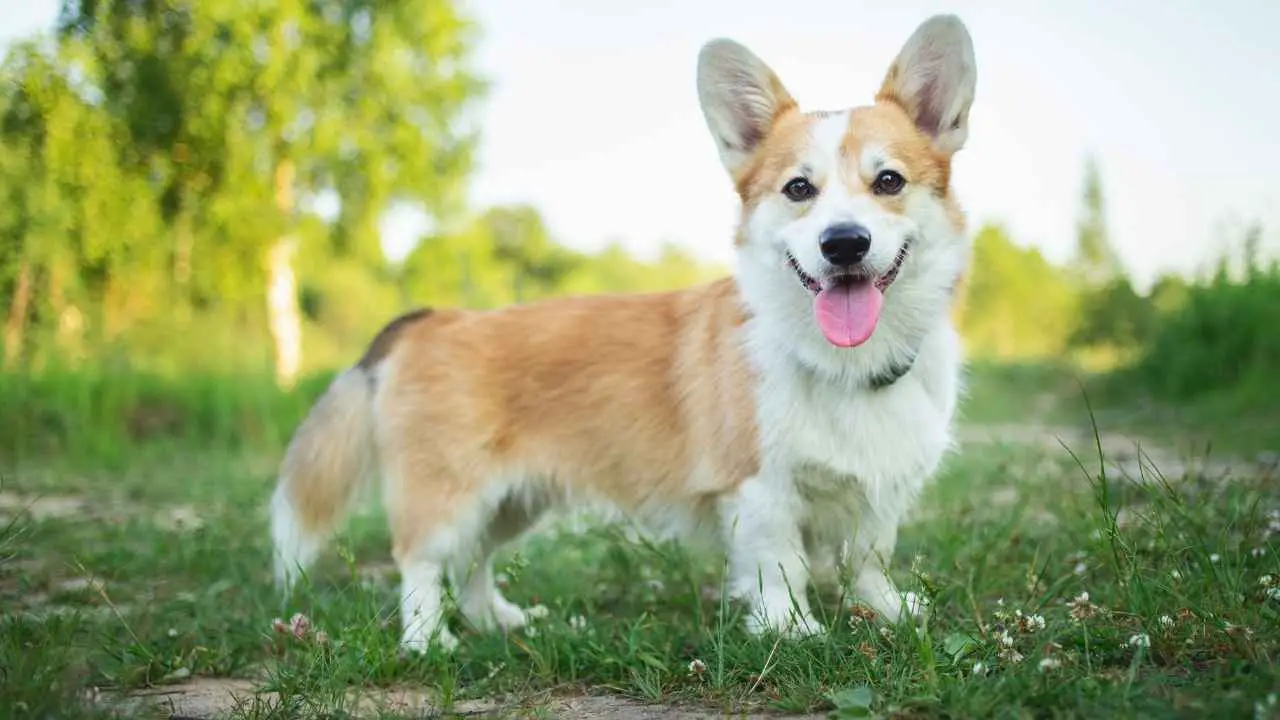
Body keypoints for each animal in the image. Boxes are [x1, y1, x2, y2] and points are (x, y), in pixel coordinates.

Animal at [264, 14, 972, 653]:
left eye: (888, 181)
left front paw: (886, 611)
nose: (844, 243)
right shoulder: (759, 490)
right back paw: (428, 640)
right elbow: (781, 568)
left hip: (512, 501)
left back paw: (499, 620)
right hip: (450, 495)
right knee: (420, 560)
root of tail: (432, 320)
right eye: (799, 188)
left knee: (475, 562)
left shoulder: (881, 495)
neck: (845, 363)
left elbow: (870, 558)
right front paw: (791, 631)